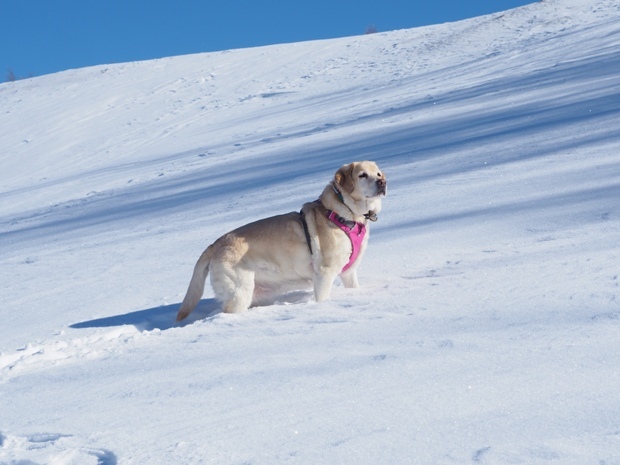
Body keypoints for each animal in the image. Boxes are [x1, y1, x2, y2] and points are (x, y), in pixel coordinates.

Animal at [176, 160, 388, 320]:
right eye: (362, 175)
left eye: (378, 174)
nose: (382, 182)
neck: (344, 215)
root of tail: (214, 244)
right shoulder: (324, 273)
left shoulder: (348, 273)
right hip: (239, 291)